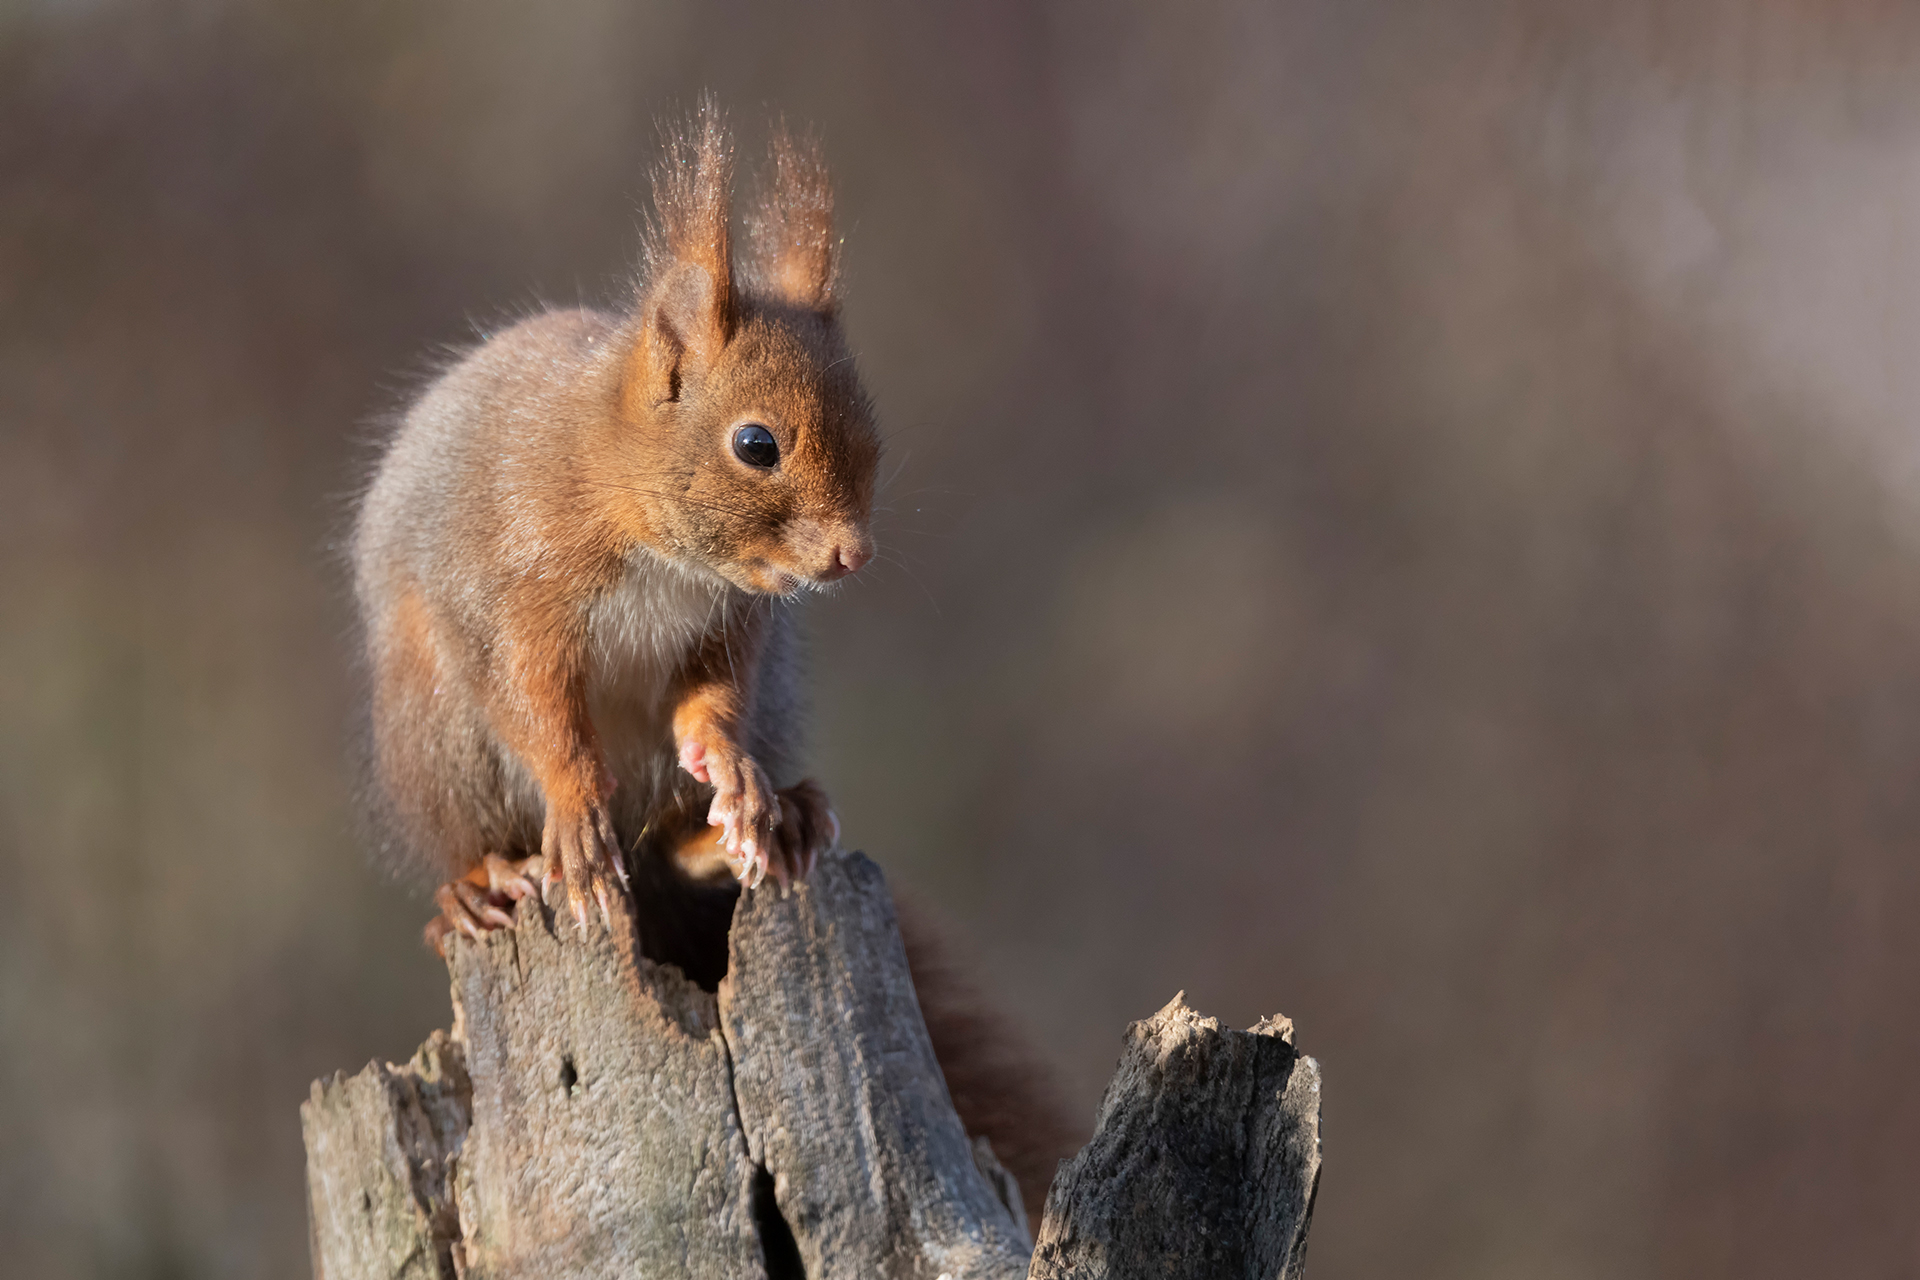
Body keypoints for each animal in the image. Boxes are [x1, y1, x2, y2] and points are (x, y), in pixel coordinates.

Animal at [351, 104, 1075, 1217]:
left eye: (873, 432)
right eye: (755, 443)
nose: (852, 553)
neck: (638, 515)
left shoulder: (730, 630)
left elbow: (710, 703)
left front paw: (732, 774)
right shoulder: (517, 597)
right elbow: (538, 708)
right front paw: (574, 815)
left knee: (675, 831)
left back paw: (759, 821)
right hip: (437, 736)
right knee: (474, 830)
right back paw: (484, 883)